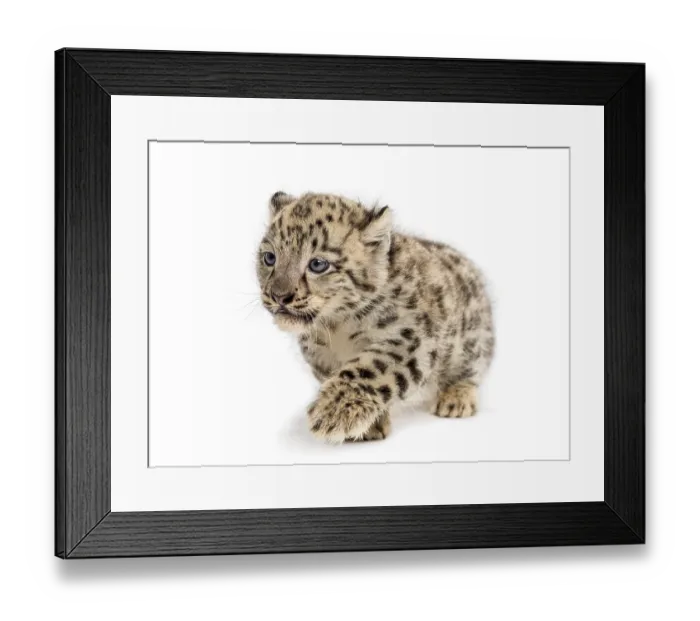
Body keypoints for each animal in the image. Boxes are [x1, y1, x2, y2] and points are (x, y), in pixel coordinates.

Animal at [257, 191, 495, 444]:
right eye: (269, 258)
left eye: (318, 264)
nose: (279, 296)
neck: (335, 327)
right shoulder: (318, 354)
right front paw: (371, 425)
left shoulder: (410, 337)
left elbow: (369, 370)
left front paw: (332, 412)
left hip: (471, 341)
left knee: (472, 369)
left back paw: (456, 399)